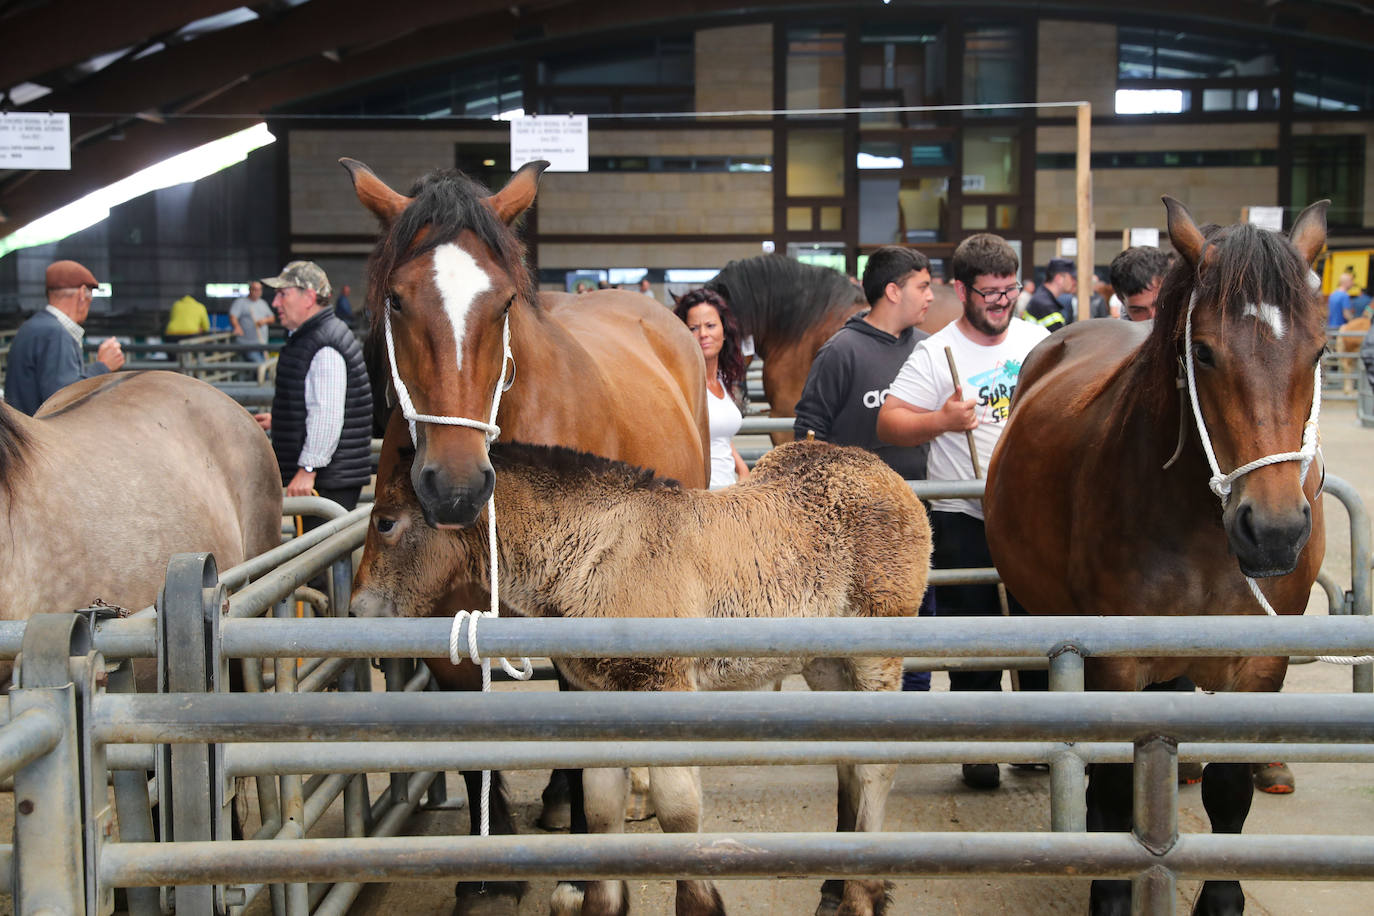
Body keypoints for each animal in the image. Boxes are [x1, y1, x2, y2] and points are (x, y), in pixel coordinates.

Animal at [354, 436, 934, 916]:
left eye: (385, 521)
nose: (358, 610)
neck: (599, 549)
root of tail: (882, 471)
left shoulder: (665, 689)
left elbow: (677, 814)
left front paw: (700, 904)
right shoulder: (600, 699)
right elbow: (601, 810)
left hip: (875, 659)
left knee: (877, 767)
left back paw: (862, 895)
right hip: (826, 665)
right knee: (848, 760)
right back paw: (837, 884)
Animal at [989, 197, 1330, 911]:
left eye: (1316, 352)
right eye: (1203, 351)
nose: (1275, 530)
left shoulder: (1259, 665)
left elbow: (1229, 791)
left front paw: (1222, 897)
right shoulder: (1117, 662)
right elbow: (1118, 785)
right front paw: (1112, 891)